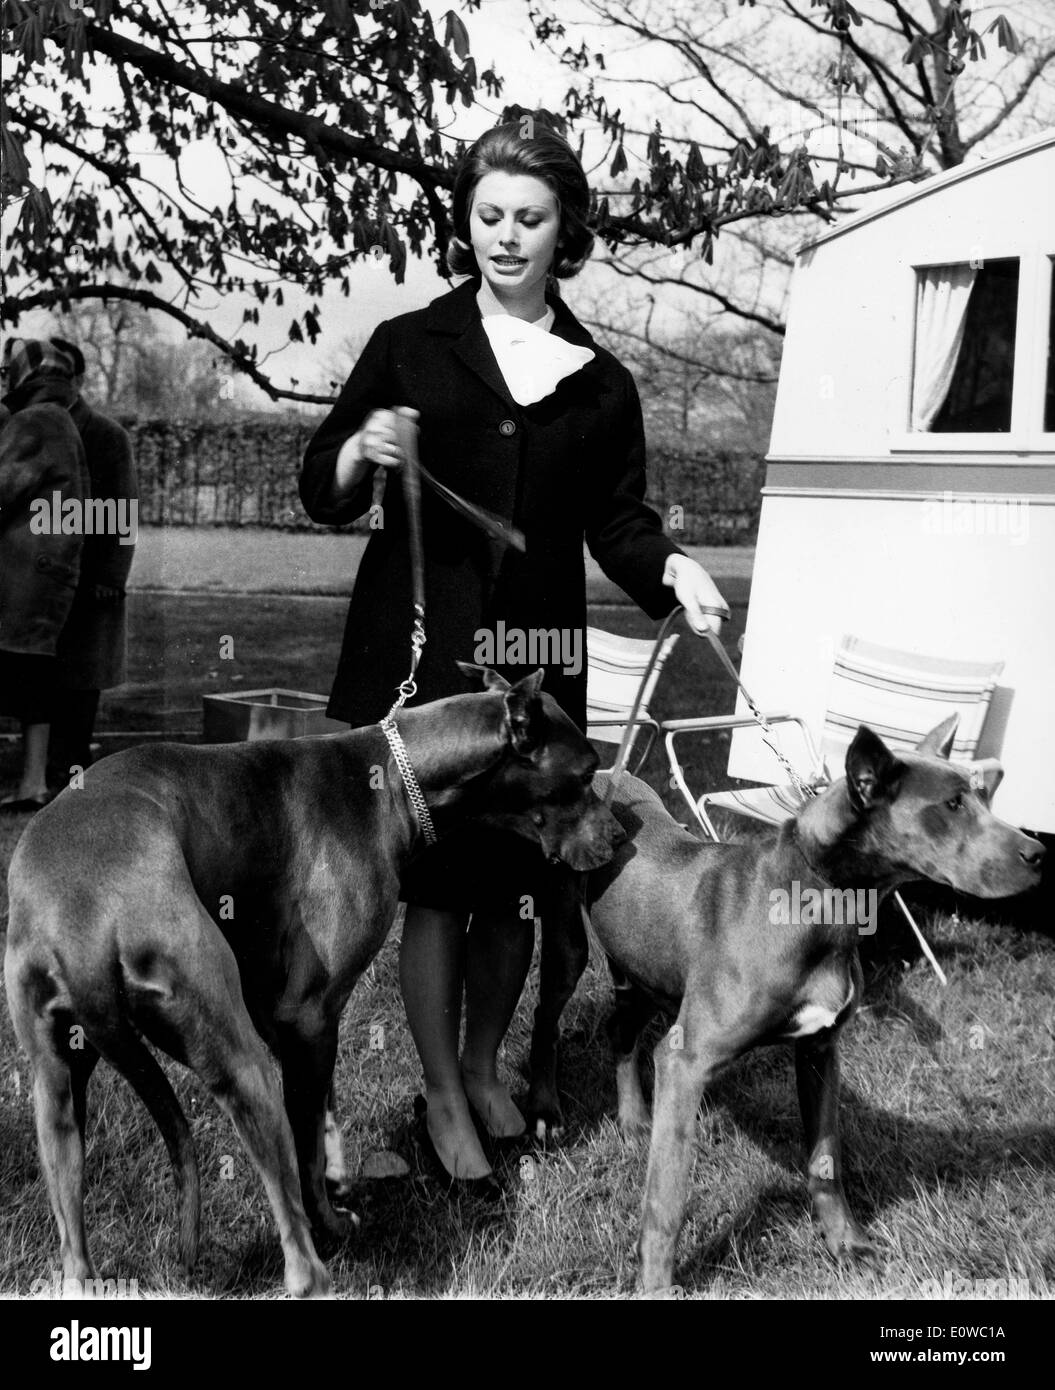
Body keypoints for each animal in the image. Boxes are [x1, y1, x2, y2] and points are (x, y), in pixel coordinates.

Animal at [4, 667, 622, 1295]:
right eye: (587, 772)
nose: (622, 837)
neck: (393, 777)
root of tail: (81, 921)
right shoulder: (311, 1016)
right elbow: (307, 1154)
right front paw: (331, 1216)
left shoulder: (294, 1025)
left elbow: (322, 1120)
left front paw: (338, 1180)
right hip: (240, 1062)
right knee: (295, 1245)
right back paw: (313, 1263)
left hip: (55, 1089)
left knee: (70, 1225)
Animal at [528, 717, 1050, 1289]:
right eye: (953, 804)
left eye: (984, 794)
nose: (1037, 855)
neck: (821, 899)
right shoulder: (687, 1061)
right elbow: (668, 1196)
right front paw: (658, 1283)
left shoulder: (820, 1050)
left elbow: (825, 1161)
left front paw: (846, 1244)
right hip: (570, 949)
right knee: (545, 1022)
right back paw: (546, 1114)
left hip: (647, 969)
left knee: (620, 1032)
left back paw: (633, 1119)